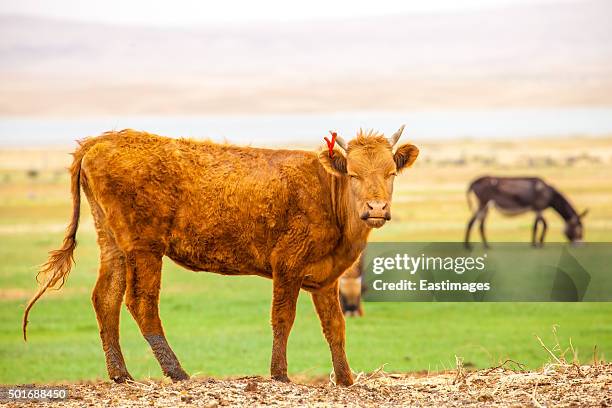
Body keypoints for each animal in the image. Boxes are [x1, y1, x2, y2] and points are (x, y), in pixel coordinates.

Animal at [22, 126, 416, 386]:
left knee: (105, 298)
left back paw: (121, 375)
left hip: (113, 245)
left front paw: (346, 378)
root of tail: (101, 140)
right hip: (144, 249)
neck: (325, 189)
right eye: (353, 174)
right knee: (141, 302)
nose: (376, 208)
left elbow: (335, 326)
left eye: (391, 173)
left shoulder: (325, 279)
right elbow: (282, 319)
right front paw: (280, 374)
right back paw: (177, 372)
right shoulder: (287, 266)